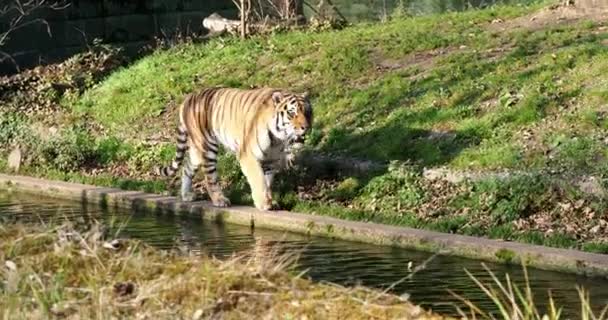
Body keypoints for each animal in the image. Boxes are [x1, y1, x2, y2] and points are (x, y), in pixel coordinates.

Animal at [157, 86, 312, 211]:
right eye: (292, 113)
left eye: (308, 112)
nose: (306, 127)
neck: (278, 139)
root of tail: (188, 98)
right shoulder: (248, 155)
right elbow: (259, 179)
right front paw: (263, 203)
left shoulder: (271, 160)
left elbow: (267, 182)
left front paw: (270, 201)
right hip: (207, 146)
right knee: (210, 178)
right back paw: (219, 200)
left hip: (196, 149)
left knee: (187, 167)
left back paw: (186, 195)